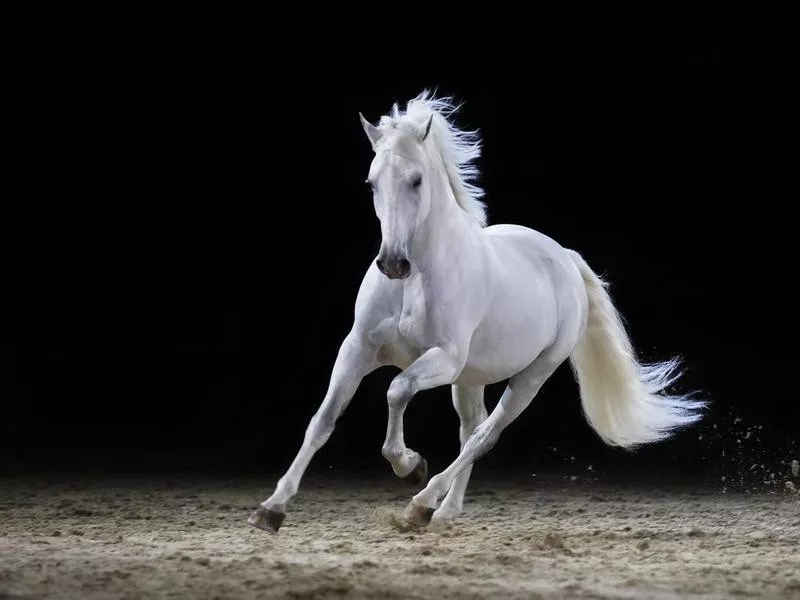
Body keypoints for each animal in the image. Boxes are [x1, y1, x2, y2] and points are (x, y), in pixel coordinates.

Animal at [247, 91, 704, 532]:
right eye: (371, 182)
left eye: (416, 180)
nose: (393, 263)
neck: (416, 280)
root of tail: (564, 257)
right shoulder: (358, 349)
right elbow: (323, 420)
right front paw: (271, 509)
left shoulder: (444, 359)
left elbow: (396, 390)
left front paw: (410, 465)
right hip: (470, 379)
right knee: (470, 429)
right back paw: (444, 511)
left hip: (530, 377)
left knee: (485, 434)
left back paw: (421, 503)